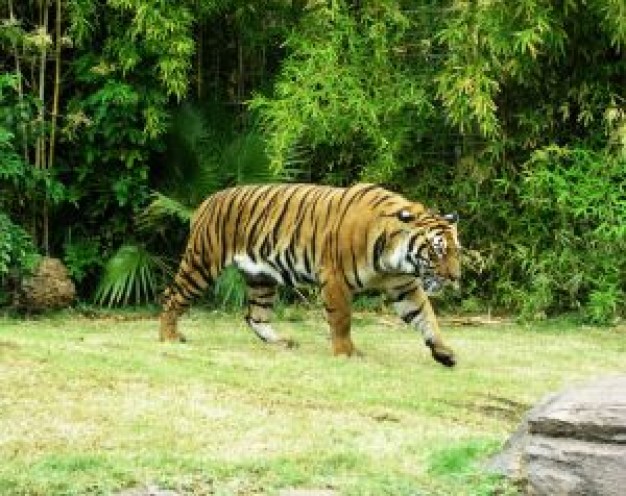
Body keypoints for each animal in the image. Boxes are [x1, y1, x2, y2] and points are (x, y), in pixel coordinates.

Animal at [158, 184, 456, 366]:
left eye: (456, 251)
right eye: (437, 251)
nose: (455, 278)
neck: (393, 258)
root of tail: (207, 200)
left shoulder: (404, 286)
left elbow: (426, 316)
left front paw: (444, 352)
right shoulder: (335, 278)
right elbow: (341, 320)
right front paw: (346, 353)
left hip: (261, 277)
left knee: (255, 316)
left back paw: (281, 342)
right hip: (202, 263)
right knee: (172, 296)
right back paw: (168, 336)